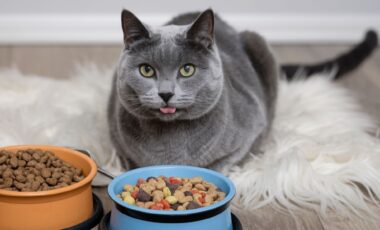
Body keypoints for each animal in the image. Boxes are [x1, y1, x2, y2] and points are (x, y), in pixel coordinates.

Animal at [108, 9, 378, 171]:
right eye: (146, 70)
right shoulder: (118, 139)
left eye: (187, 70)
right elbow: (132, 164)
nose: (166, 94)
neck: (171, 144)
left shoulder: (251, 129)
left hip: (260, 47)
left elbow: (219, 165)